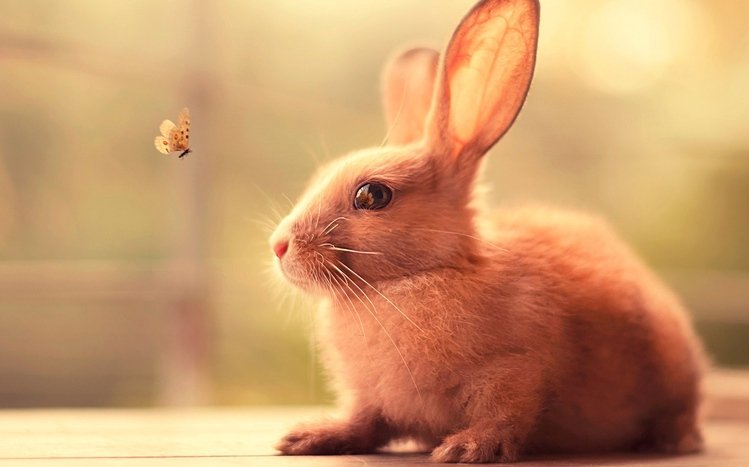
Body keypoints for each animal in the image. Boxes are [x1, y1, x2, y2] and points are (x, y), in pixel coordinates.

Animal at [269, 0, 706, 463]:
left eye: (372, 195)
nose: (279, 246)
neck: (412, 279)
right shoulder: (371, 398)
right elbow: (364, 422)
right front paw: (308, 437)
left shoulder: (515, 371)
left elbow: (503, 416)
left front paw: (466, 448)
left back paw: (673, 441)